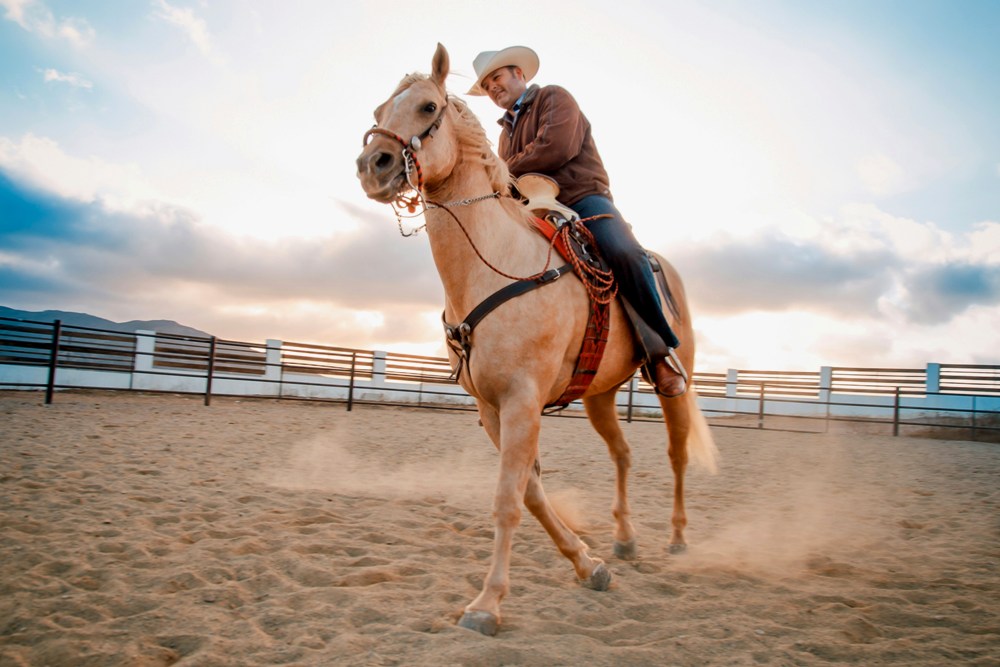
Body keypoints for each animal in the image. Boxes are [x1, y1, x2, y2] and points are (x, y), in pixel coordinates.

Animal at [356, 41, 716, 636]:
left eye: (428, 107)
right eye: (380, 110)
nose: (372, 166)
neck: (495, 266)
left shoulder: (522, 400)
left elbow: (508, 498)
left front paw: (486, 604)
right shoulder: (491, 408)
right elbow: (530, 489)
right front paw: (589, 564)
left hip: (673, 384)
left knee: (676, 454)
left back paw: (680, 537)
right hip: (599, 394)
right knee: (622, 454)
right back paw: (624, 539)